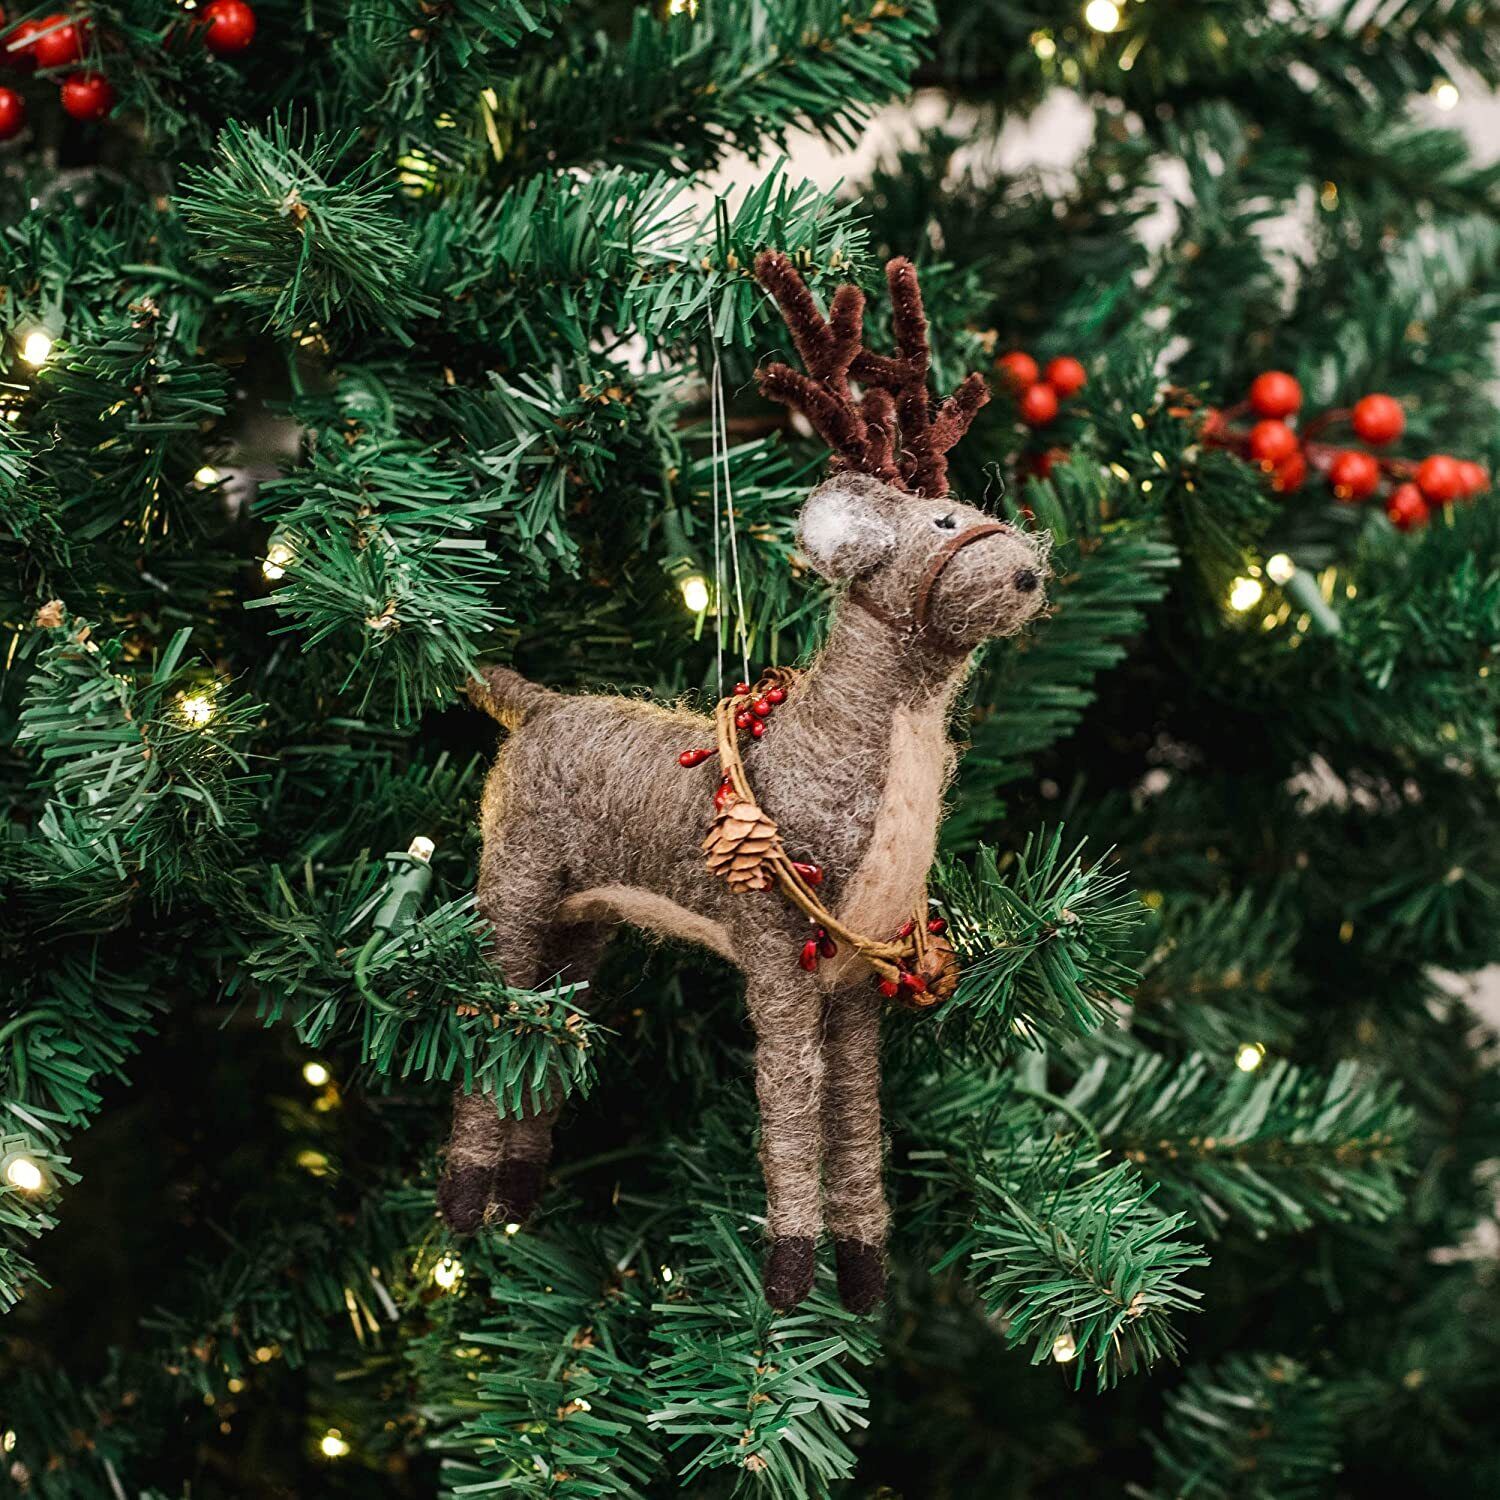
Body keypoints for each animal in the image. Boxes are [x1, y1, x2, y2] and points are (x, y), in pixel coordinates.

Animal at [438, 252, 1049, 1313]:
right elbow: (792, 1107)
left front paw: (864, 1275)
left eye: (982, 511)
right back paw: (469, 1202)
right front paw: (789, 1275)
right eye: (944, 518)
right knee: (492, 1022)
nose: (1027, 571)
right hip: (514, 882)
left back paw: (520, 1197)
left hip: (586, 921)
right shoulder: (776, 953)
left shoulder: (856, 978)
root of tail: (538, 705)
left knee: (549, 1038)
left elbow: (856, 1123)